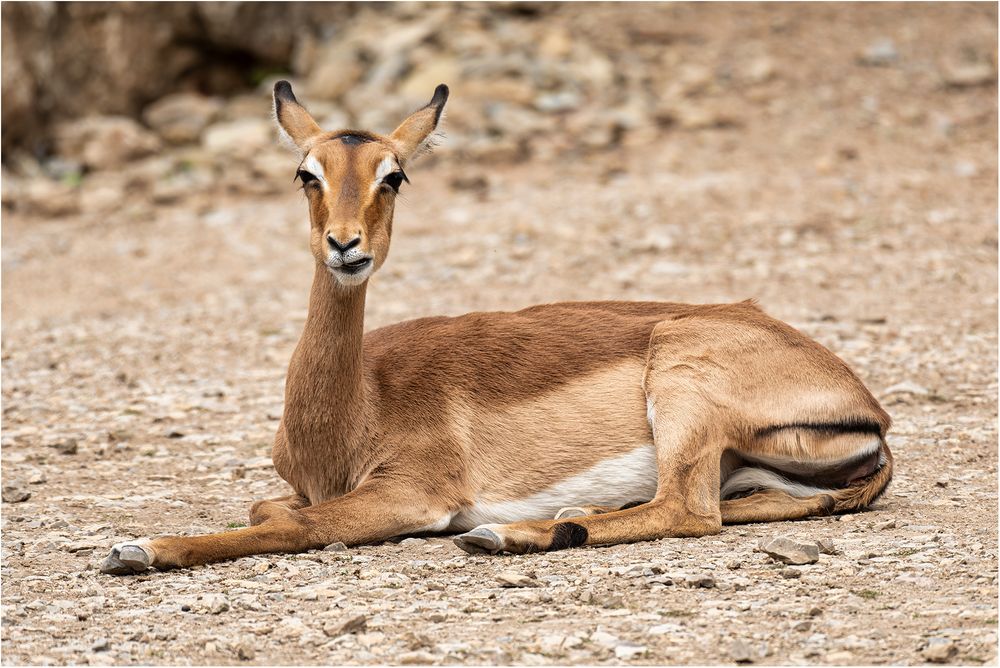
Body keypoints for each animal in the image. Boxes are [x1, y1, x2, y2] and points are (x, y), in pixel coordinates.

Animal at [101, 82, 896, 576]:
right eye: (308, 172)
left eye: (394, 175)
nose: (346, 246)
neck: (352, 407)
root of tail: (867, 407)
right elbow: (267, 505)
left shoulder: (410, 496)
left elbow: (290, 523)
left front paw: (137, 548)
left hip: (683, 389)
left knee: (691, 511)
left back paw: (510, 533)